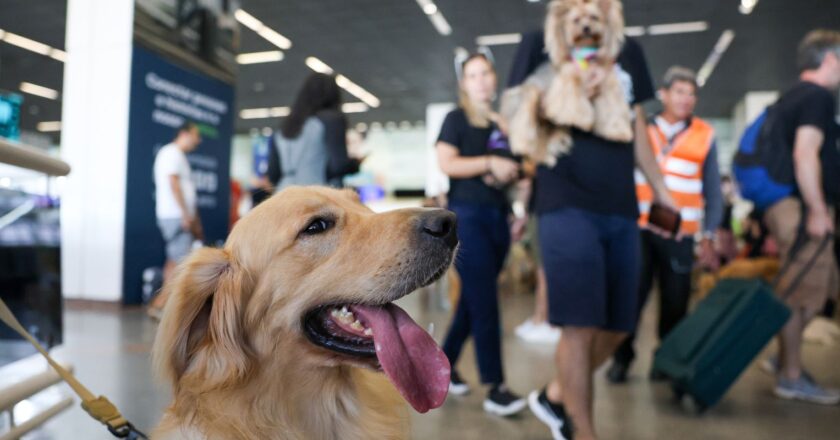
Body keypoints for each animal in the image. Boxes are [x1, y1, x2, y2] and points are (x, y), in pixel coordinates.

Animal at [506, 0, 632, 165]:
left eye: (594, 17)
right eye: (576, 20)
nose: (586, 28)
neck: (586, 54)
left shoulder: (606, 85)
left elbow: (613, 108)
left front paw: (618, 131)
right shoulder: (569, 79)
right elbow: (573, 103)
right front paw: (581, 119)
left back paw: (547, 156)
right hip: (532, 95)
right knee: (523, 121)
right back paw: (522, 144)